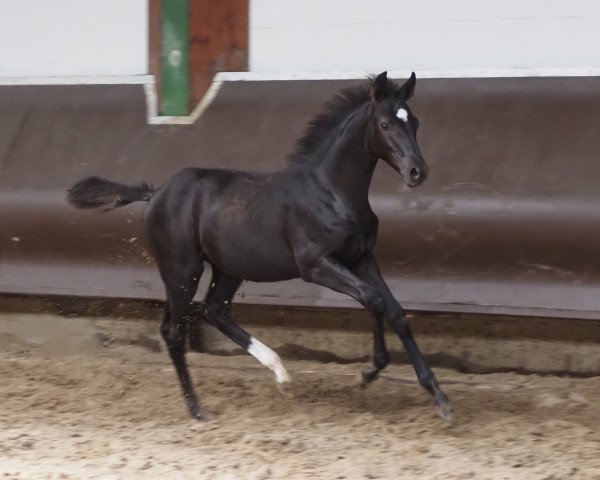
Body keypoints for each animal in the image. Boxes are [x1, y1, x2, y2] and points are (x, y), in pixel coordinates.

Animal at [68, 71, 452, 420]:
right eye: (385, 124)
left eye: (414, 121)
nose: (417, 172)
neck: (332, 192)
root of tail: (156, 192)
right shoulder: (317, 266)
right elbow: (374, 301)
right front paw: (368, 373)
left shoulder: (362, 259)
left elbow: (395, 310)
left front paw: (438, 395)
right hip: (182, 270)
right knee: (175, 331)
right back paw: (197, 409)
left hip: (227, 269)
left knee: (214, 311)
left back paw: (281, 375)